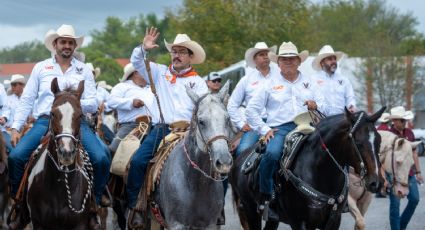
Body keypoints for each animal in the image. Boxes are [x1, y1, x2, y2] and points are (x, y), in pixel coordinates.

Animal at [229, 108, 384, 230]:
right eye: (358, 142)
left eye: (379, 140)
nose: (376, 182)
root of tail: (240, 157)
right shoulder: (300, 223)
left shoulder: (334, 221)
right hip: (250, 211)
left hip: (271, 219)